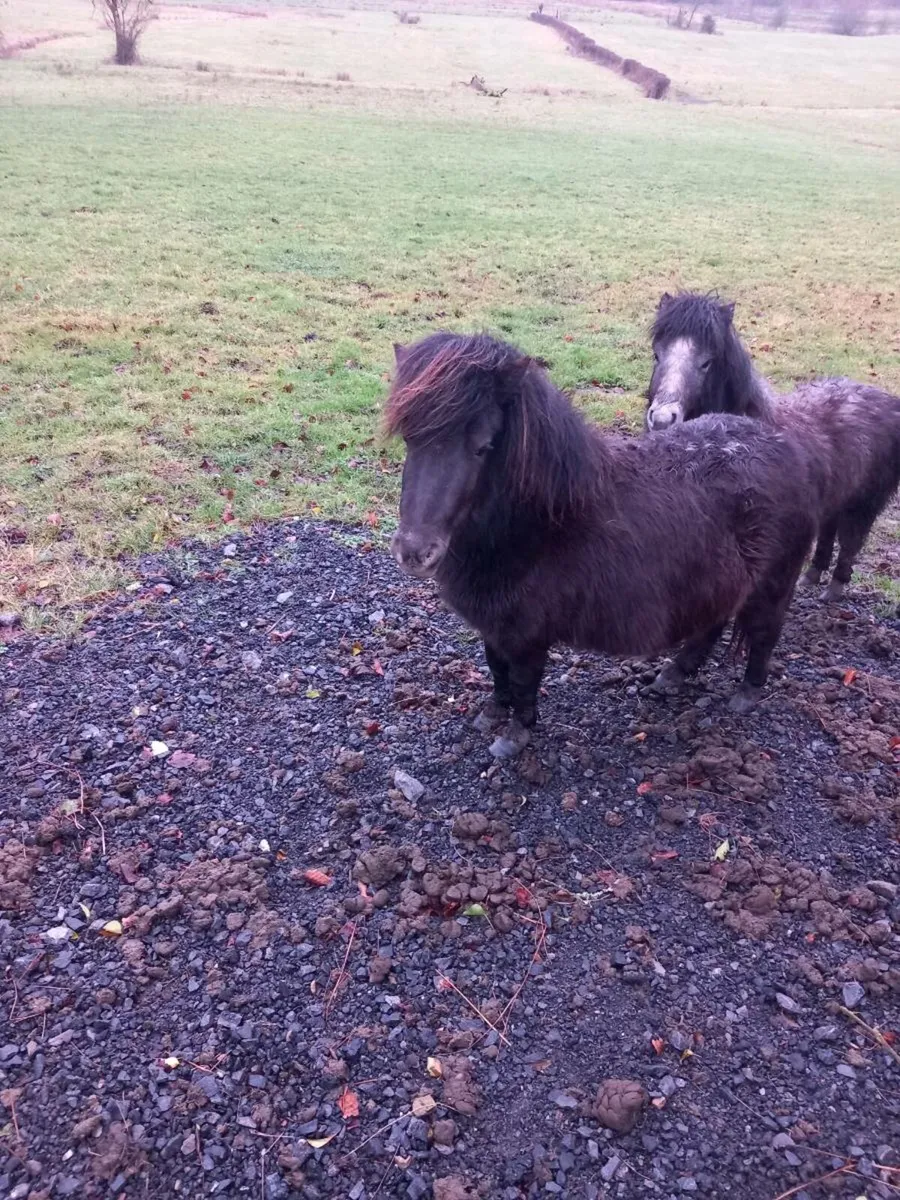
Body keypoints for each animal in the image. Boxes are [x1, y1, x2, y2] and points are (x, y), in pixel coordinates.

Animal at [385, 331, 820, 758]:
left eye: (483, 446)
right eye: (410, 439)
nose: (414, 551)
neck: (545, 525)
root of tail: (785, 446)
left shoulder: (527, 634)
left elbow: (523, 680)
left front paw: (514, 735)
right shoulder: (495, 627)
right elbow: (496, 669)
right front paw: (492, 712)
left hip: (772, 585)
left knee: (764, 633)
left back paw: (746, 693)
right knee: (710, 627)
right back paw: (672, 676)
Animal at [645, 291, 900, 601]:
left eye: (707, 362)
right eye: (657, 355)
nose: (662, 419)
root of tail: (887, 400)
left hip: (864, 504)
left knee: (851, 541)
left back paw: (835, 587)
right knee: (828, 532)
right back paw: (812, 575)